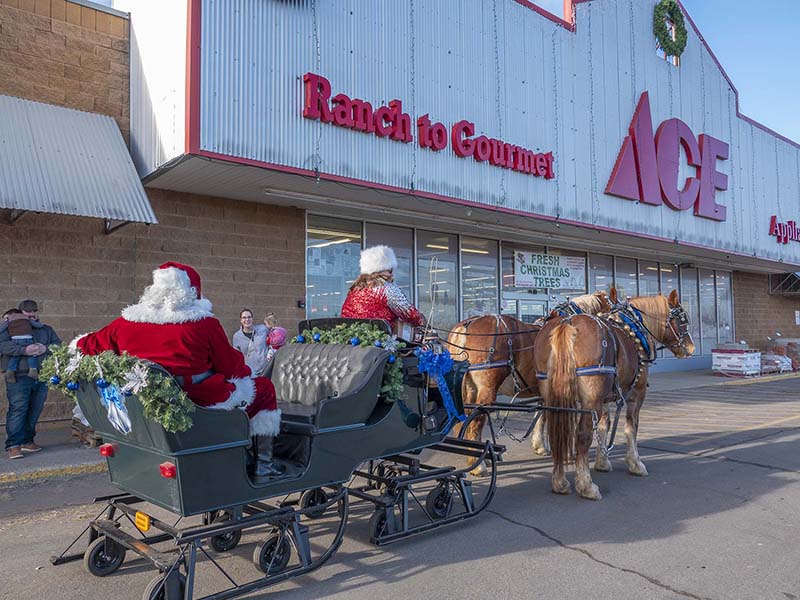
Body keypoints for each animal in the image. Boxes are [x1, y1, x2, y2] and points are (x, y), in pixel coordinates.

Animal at [446, 292, 608, 476]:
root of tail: (467, 324)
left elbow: (541, 416)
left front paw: (539, 445)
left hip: (469, 388)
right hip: (486, 389)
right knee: (477, 420)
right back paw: (478, 466)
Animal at [536, 288, 696, 500]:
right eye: (682, 319)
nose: (691, 347)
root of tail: (567, 324)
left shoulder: (604, 399)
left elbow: (604, 426)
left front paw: (602, 462)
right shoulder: (636, 394)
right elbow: (631, 428)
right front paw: (635, 463)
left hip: (555, 396)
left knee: (557, 434)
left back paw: (559, 482)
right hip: (590, 400)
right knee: (582, 436)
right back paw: (586, 485)